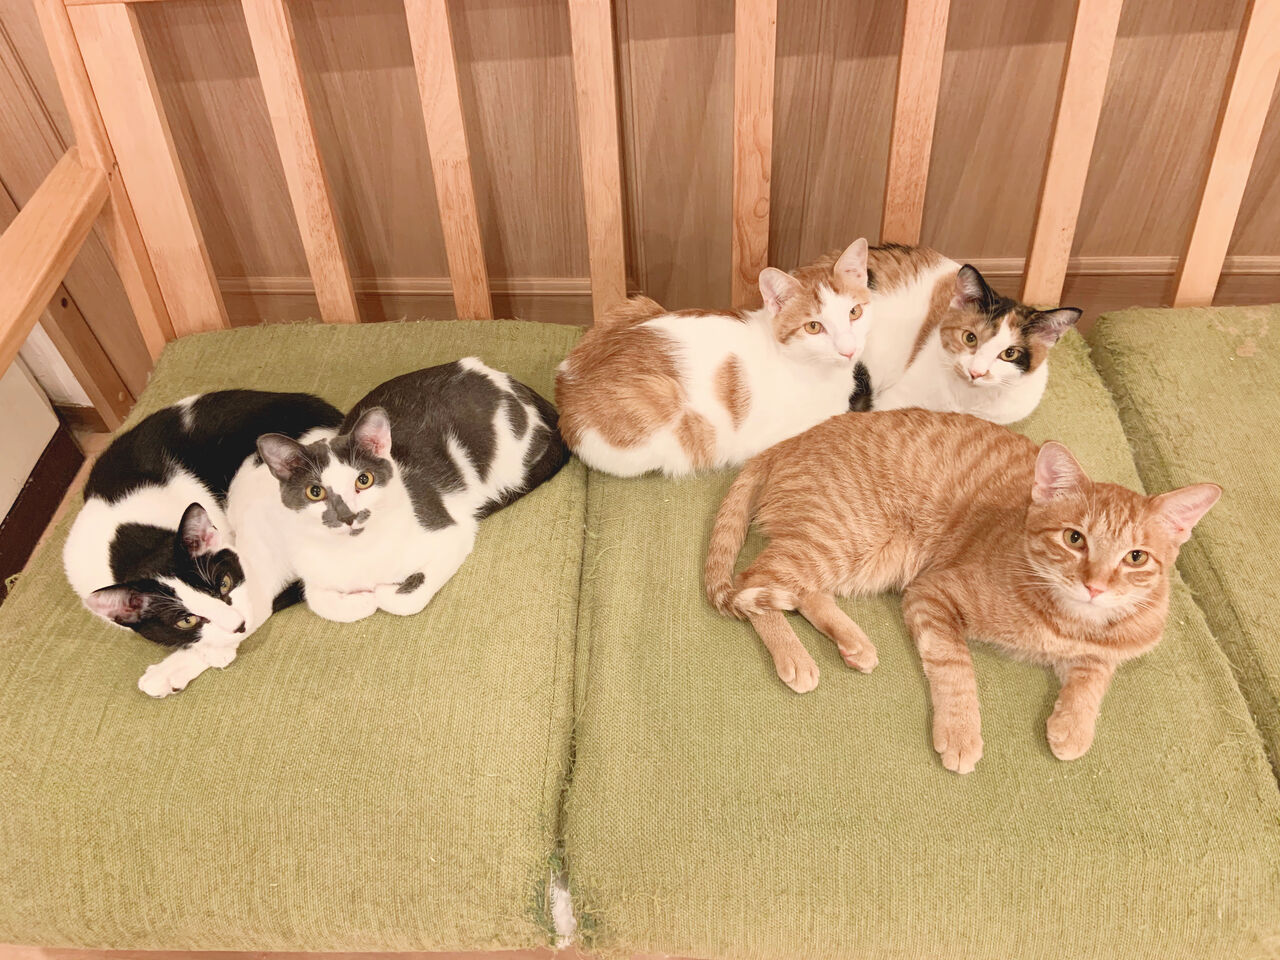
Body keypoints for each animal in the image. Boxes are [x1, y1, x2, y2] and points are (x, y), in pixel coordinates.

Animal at [63, 390, 343, 697]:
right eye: (186, 620)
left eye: (223, 584)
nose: (237, 626)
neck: (130, 539)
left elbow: (255, 597)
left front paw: (202, 655)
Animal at [255, 357, 568, 623]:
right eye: (315, 492)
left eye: (363, 480)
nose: (348, 516)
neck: (360, 553)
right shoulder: (311, 569)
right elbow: (317, 599)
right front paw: (361, 600)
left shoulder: (452, 532)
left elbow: (404, 601)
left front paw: (383, 593)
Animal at [555, 239, 874, 477]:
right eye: (814, 327)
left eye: (854, 312)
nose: (848, 348)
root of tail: (565, 386)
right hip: (661, 400)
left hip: (637, 304)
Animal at [705, 408, 1219, 773]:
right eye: (1074, 539)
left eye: (1136, 558)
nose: (1094, 586)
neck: (1069, 621)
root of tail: (785, 442)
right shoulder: (931, 594)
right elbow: (956, 670)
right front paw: (961, 733)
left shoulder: (1107, 652)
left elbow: (1093, 679)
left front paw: (1072, 728)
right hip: (845, 541)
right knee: (755, 583)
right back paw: (795, 657)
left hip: (862, 558)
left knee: (801, 590)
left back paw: (853, 643)